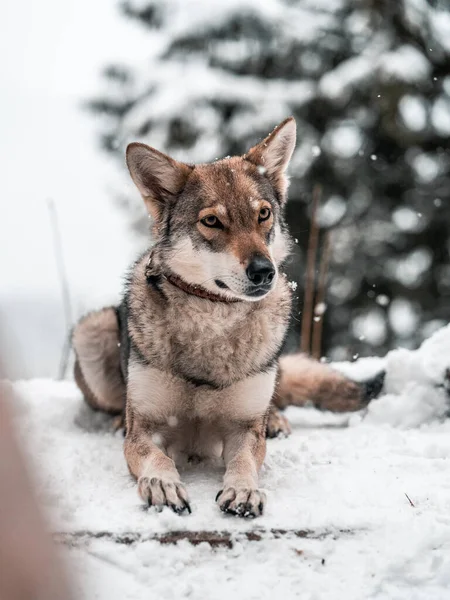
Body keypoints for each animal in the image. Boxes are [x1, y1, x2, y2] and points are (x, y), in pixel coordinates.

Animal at [73, 117, 384, 516]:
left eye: (263, 214)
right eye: (212, 221)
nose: (264, 271)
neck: (214, 319)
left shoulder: (243, 430)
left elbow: (244, 461)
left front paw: (243, 490)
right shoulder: (146, 428)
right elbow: (157, 457)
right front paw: (162, 484)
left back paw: (276, 420)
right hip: (90, 332)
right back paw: (116, 421)